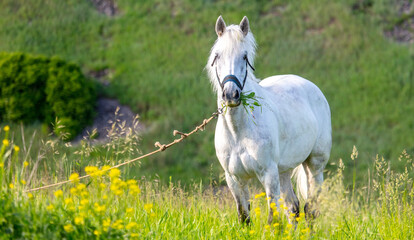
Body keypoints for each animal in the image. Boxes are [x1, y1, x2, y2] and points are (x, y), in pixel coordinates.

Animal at [207, 15, 334, 224]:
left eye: (244, 56)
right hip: (284, 171)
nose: (231, 95)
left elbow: (272, 219)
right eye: (217, 56)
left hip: (315, 166)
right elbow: (244, 217)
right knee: (294, 208)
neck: (239, 132)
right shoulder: (234, 180)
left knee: (310, 210)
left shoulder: (268, 175)